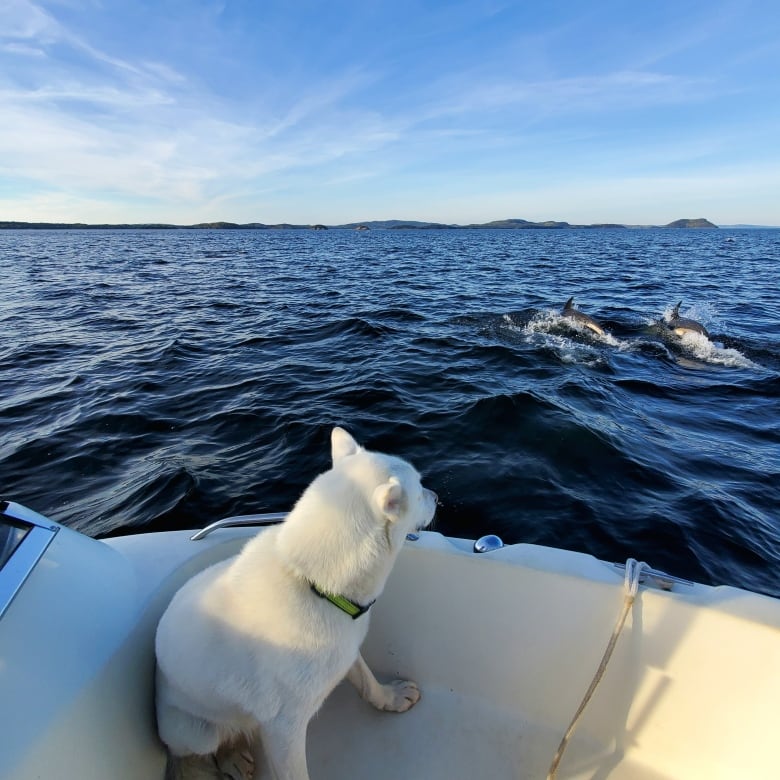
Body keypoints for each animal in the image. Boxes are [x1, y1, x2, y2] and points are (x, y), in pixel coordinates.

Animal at [155, 430, 436, 776]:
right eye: (420, 489)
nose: (437, 496)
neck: (314, 584)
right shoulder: (282, 729)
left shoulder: (344, 652)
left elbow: (367, 680)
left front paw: (390, 698)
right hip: (196, 731)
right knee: (197, 751)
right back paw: (228, 758)